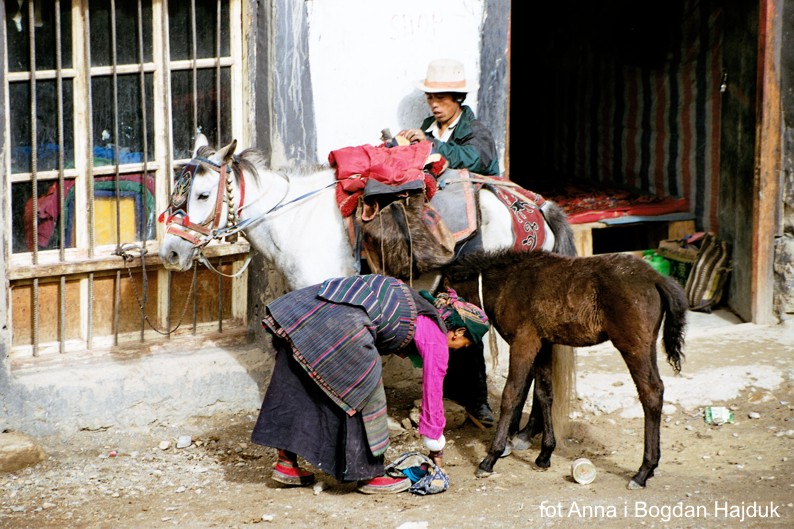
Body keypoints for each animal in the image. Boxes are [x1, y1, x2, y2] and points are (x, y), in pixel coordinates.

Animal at [158, 137, 576, 458]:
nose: (171, 253)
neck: (295, 222)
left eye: (202, 194)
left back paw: (515, 437)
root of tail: (536, 206)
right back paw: (525, 434)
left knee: (529, 368)